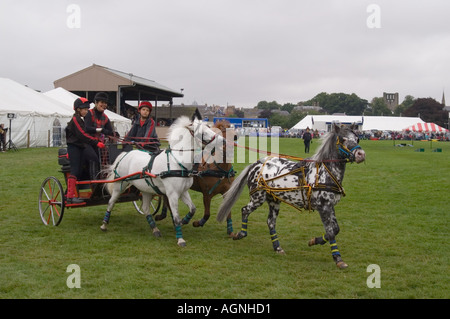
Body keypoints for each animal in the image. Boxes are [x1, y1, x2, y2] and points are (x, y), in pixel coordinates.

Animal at [100, 117, 223, 248]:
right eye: (202, 132)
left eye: (209, 128)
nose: (223, 140)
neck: (177, 162)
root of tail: (126, 154)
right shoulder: (172, 194)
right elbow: (176, 216)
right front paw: (180, 239)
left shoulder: (183, 192)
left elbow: (193, 209)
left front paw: (184, 221)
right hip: (120, 185)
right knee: (111, 202)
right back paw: (104, 224)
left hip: (146, 189)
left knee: (146, 209)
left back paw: (155, 229)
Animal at [218, 124, 366, 268]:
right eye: (343, 139)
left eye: (357, 139)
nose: (361, 154)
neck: (324, 173)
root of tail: (256, 164)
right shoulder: (323, 207)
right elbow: (331, 232)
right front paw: (337, 258)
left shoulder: (330, 206)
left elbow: (335, 229)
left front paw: (314, 241)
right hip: (257, 198)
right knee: (245, 210)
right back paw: (241, 234)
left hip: (274, 201)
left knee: (270, 222)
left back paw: (277, 247)